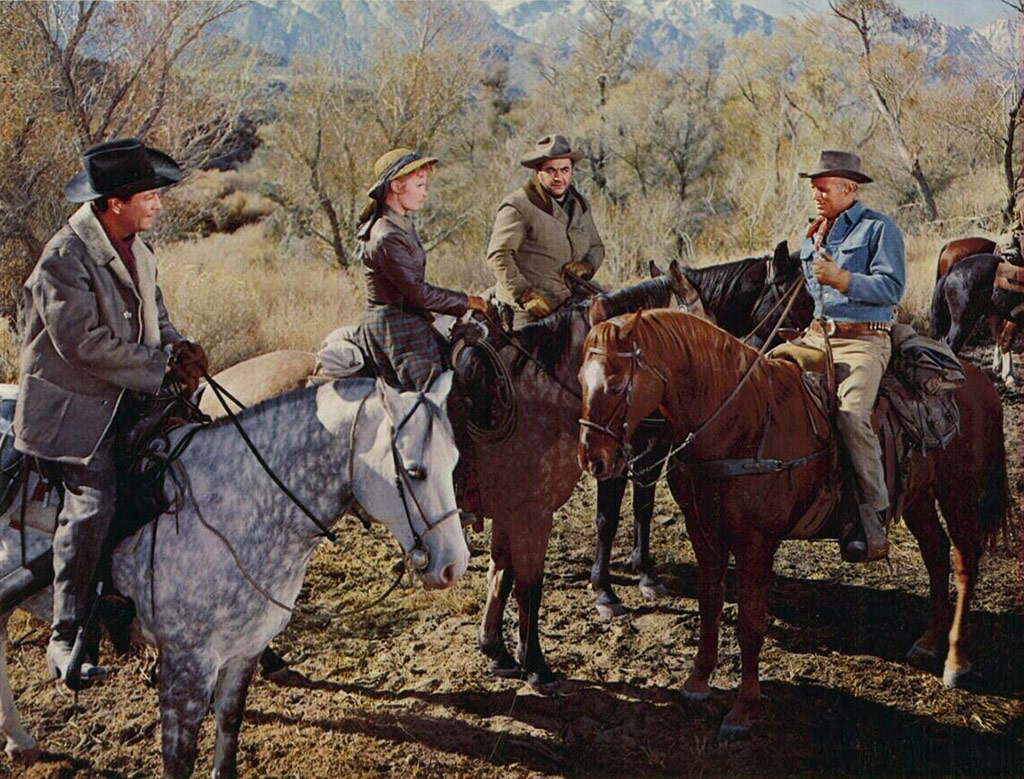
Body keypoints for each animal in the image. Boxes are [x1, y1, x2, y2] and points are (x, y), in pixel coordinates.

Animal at [2, 374, 468, 773]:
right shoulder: (186, 668)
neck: (238, 505)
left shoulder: (244, 652)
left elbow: (227, 732)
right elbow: (179, 759)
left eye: (455, 462)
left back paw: (20, 742)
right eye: (415, 472)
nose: (453, 564)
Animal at [581, 307, 1011, 737]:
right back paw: (928, 642)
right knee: (936, 556)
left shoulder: (756, 543)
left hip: (959, 494)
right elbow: (710, 605)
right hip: (919, 496)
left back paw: (955, 661)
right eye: (581, 381)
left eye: (616, 385)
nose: (593, 460)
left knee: (964, 565)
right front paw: (698, 682)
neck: (742, 421)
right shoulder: (703, 532)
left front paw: (743, 710)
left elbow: (751, 624)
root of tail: (980, 382)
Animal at [585, 240, 815, 618]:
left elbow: (643, 506)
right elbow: (607, 517)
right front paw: (604, 592)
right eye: (802, 300)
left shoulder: (654, 447)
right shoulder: (612, 453)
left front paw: (646, 574)